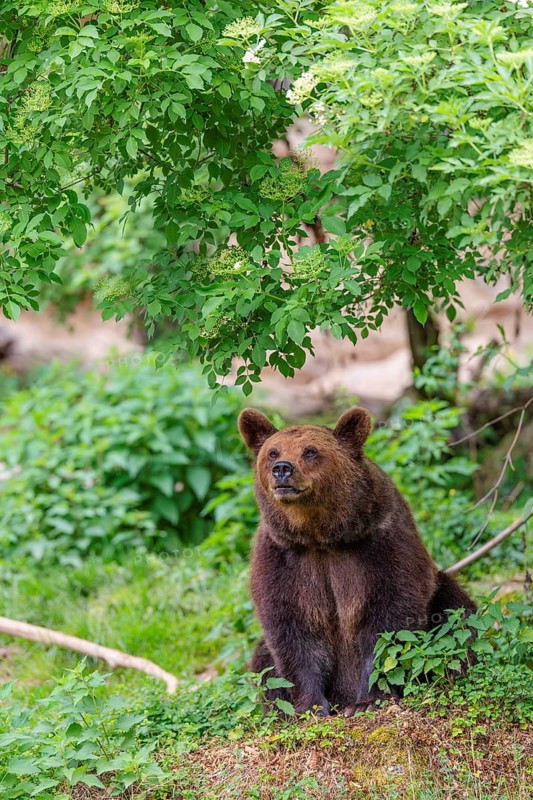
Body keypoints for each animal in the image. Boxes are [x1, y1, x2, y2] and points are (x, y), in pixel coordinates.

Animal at [238, 406, 476, 717]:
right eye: (273, 452)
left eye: (310, 451)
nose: (282, 469)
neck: (321, 536)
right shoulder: (283, 558)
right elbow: (293, 630)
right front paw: (310, 706)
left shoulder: (379, 544)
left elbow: (386, 621)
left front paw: (369, 699)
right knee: (263, 662)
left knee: (454, 617)